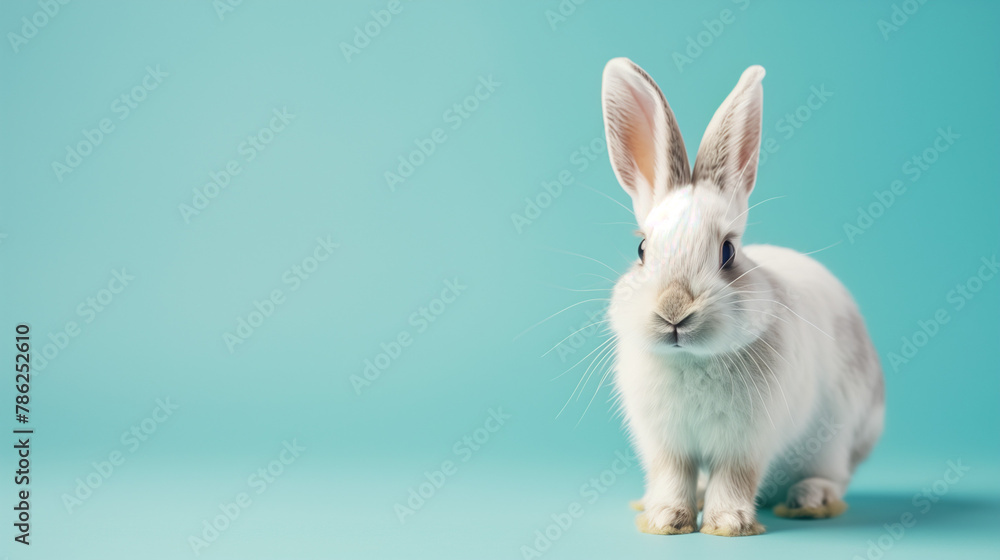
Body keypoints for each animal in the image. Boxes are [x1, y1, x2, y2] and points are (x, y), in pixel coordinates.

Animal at [599, 58, 884, 536]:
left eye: (728, 252)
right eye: (642, 250)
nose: (674, 311)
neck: (692, 361)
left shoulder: (746, 443)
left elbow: (735, 478)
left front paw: (728, 524)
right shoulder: (666, 445)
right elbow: (672, 476)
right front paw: (665, 519)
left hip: (834, 437)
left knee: (832, 476)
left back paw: (810, 500)